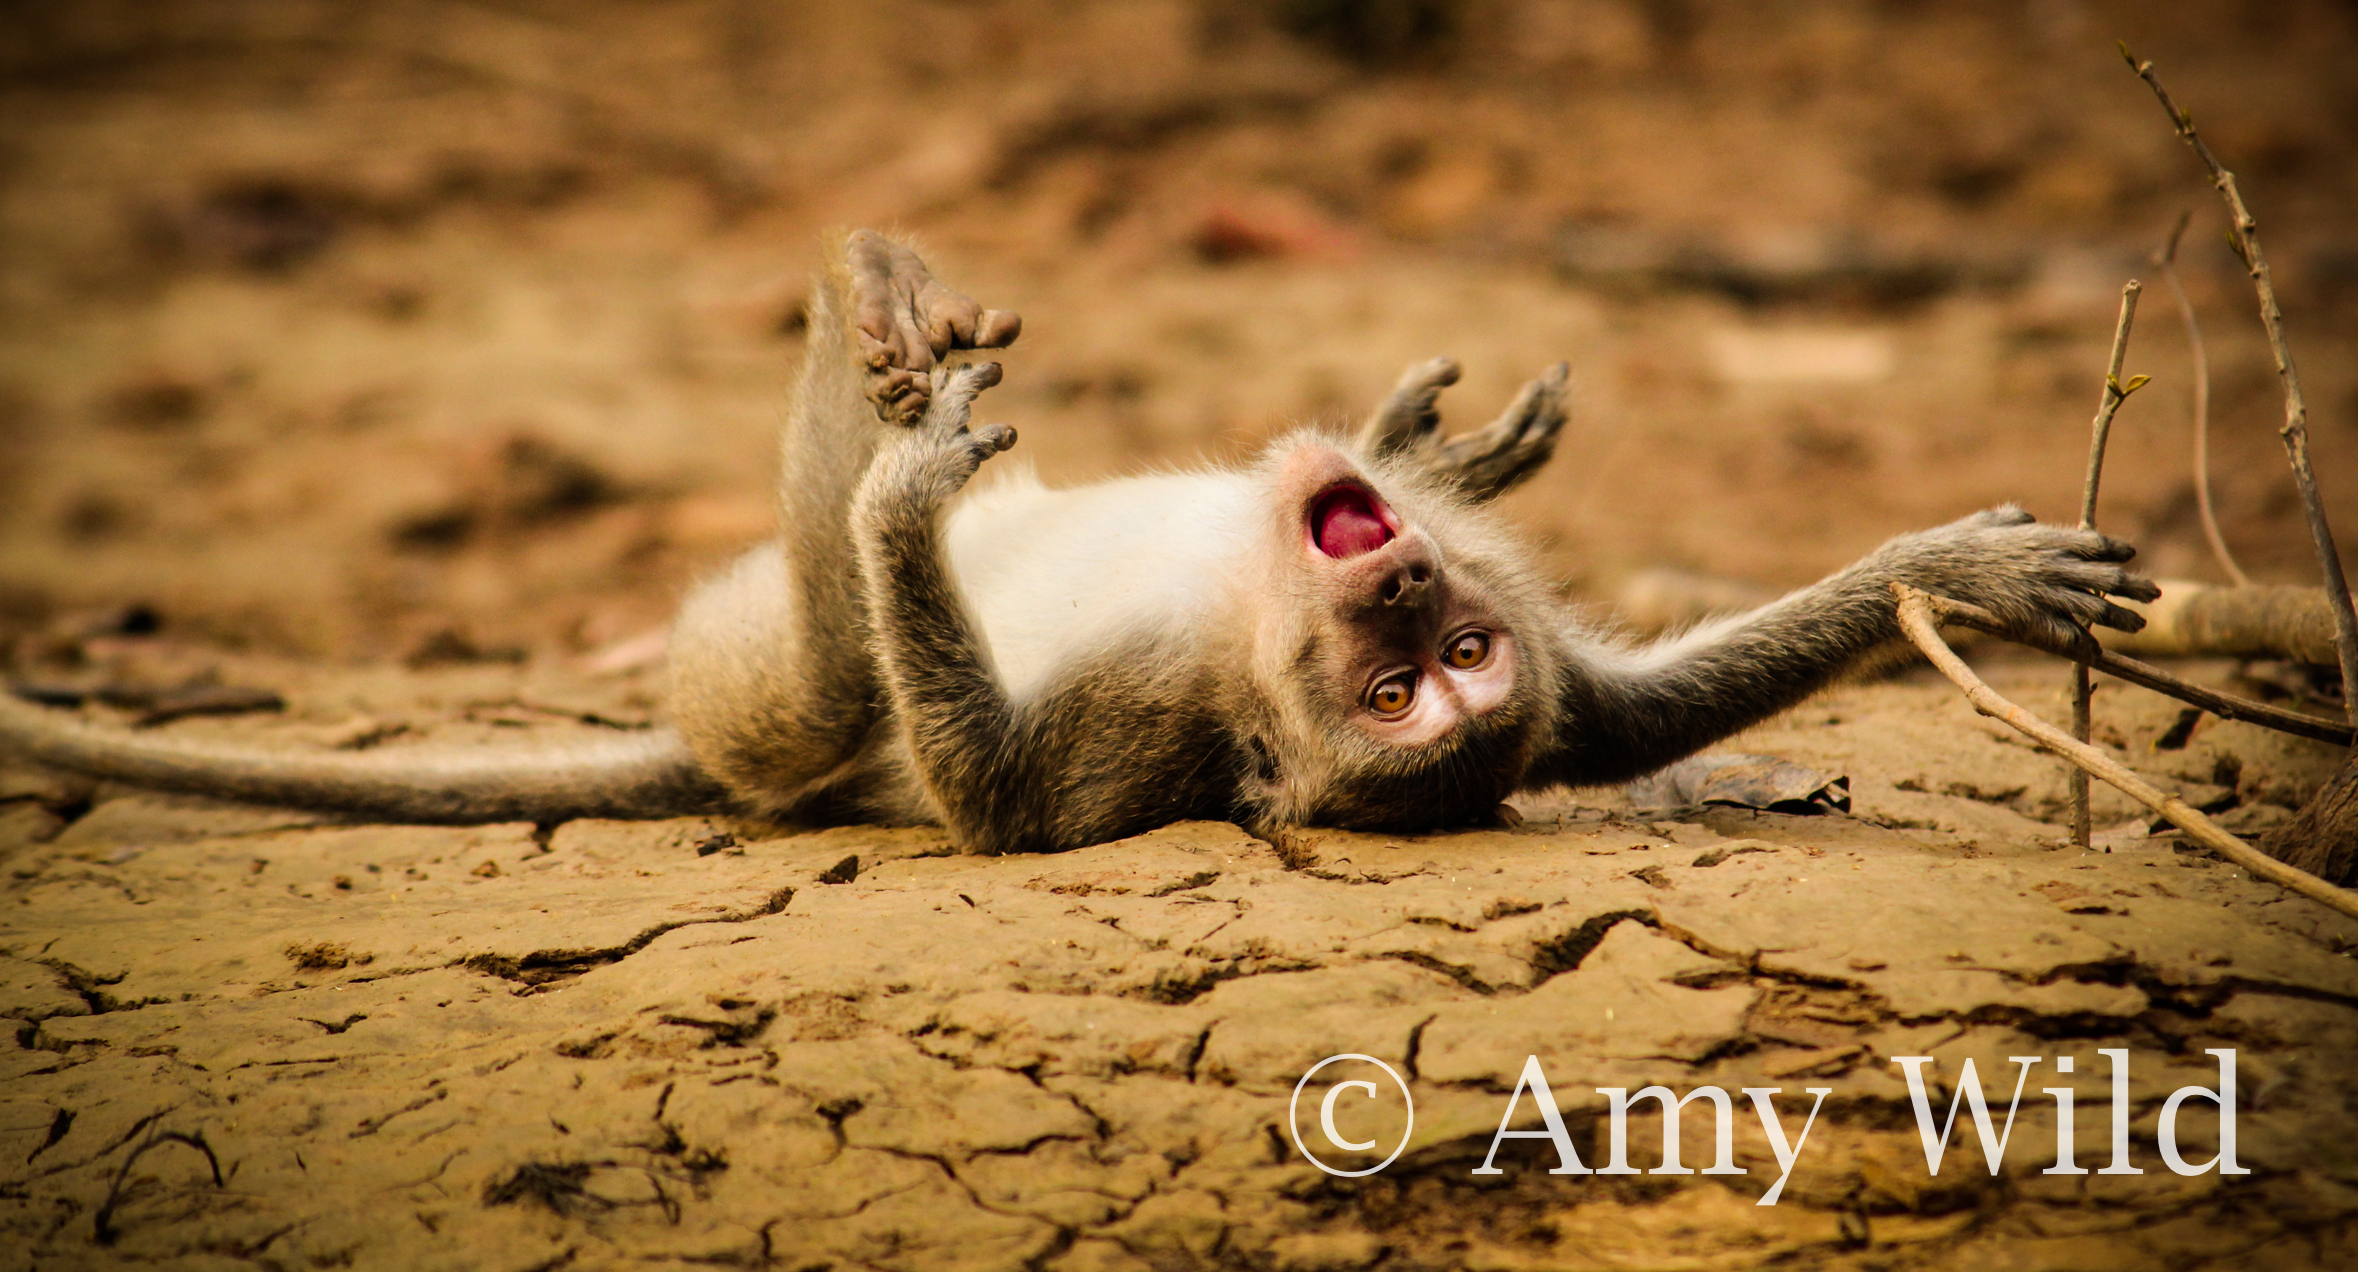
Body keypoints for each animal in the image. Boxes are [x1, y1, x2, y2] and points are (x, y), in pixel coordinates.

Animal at [0, 230, 2161, 853]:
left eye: (1426, 686)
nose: (1401, 574)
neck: (1245, 599)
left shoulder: (1164, 728)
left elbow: (1006, 810)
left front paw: (896, 508)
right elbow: (1629, 709)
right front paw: (1958, 575)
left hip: (749, 688)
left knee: (823, 686)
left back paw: (855, 450)